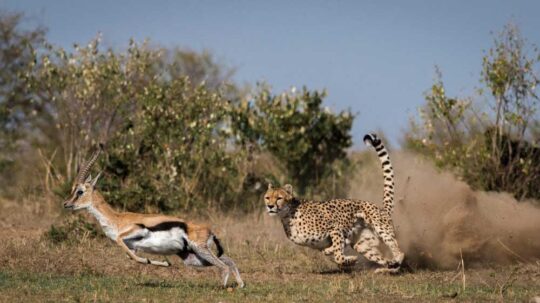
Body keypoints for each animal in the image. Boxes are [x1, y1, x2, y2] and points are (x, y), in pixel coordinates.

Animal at [266, 134, 404, 274]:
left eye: (279, 198)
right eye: (267, 198)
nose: (270, 206)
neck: (288, 215)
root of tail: (381, 208)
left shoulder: (335, 228)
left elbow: (338, 254)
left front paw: (349, 259)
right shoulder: (324, 242)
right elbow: (331, 250)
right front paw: (345, 258)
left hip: (382, 229)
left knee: (399, 252)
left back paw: (394, 263)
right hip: (362, 245)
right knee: (383, 258)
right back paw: (386, 268)